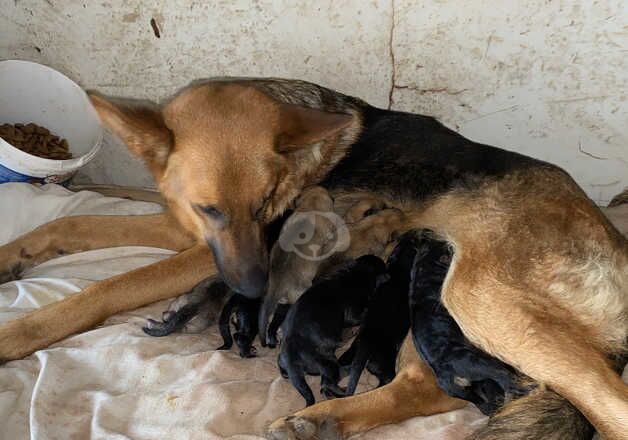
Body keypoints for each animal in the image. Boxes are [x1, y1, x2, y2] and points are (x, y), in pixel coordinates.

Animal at [278, 254, 388, 406]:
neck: (356, 274)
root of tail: (290, 355)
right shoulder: (353, 313)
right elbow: (362, 313)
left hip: (285, 360)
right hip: (328, 363)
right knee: (328, 383)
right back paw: (344, 386)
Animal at [338, 230, 418, 396]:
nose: (410, 236)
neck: (398, 271)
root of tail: (366, 344)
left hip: (348, 354)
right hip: (384, 363)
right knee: (385, 381)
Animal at [410, 230, 528, 416]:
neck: (424, 271)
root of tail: (446, 373)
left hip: (462, 391)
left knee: (482, 403)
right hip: (483, 363)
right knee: (505, 378)